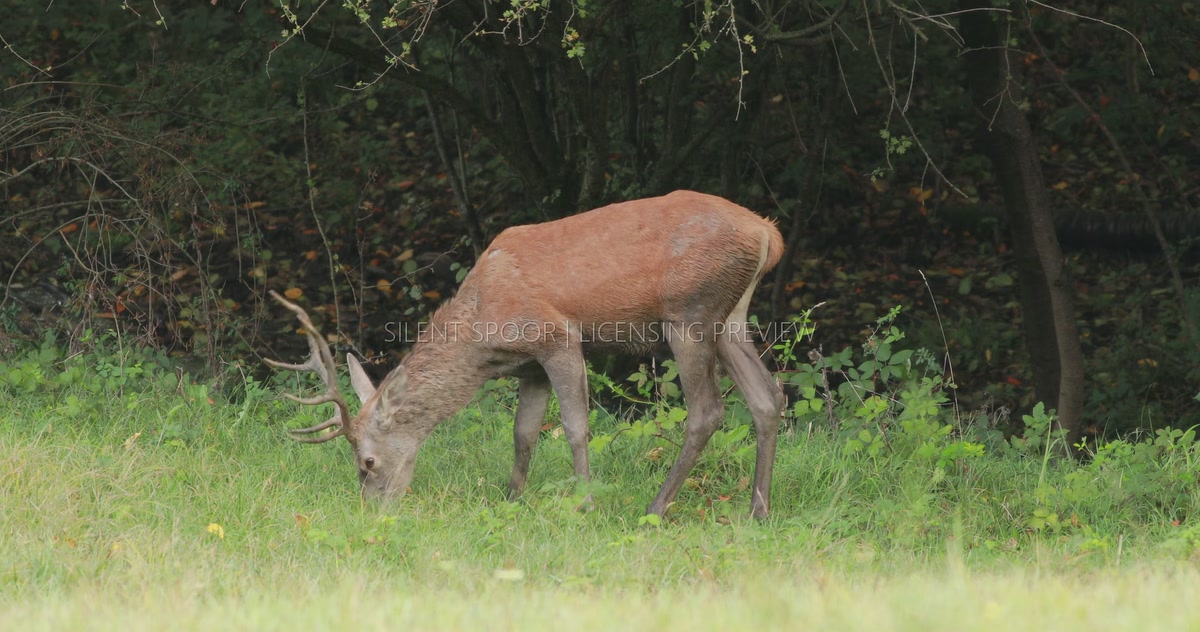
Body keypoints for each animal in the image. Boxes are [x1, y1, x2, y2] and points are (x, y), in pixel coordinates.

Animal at [266, 190, 787, 519]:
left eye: (367, 462)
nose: (373, 511)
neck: (482, 330)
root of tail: (768, 234)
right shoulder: (529, 365)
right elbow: (524, 433)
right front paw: (512, 499)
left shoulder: (557, 337)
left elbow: (575, 427)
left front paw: (585, 504)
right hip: (730, 318)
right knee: (767, 397)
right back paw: (757, 511)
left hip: (690, 312)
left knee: (708, 411)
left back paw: (656, 508)